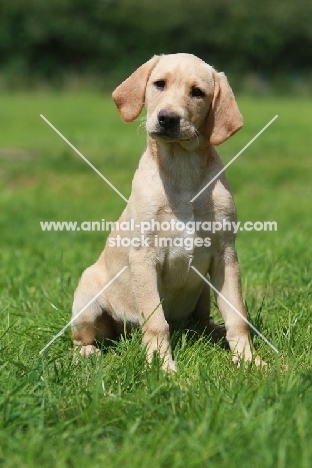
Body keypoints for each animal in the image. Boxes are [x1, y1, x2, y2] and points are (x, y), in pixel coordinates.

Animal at [72, 53, 260, 372]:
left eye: (197, 92)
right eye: (159, 84)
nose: (168, 118)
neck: (182, 169)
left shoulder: (225, 255)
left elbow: (237, 316)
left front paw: (249, 360)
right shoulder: (144, 257)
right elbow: (157, 322)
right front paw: (162, 366)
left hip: (203, 293)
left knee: (202, 322)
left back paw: (214, 331)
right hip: (86, 299)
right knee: (83, 339)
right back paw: (88, 353)